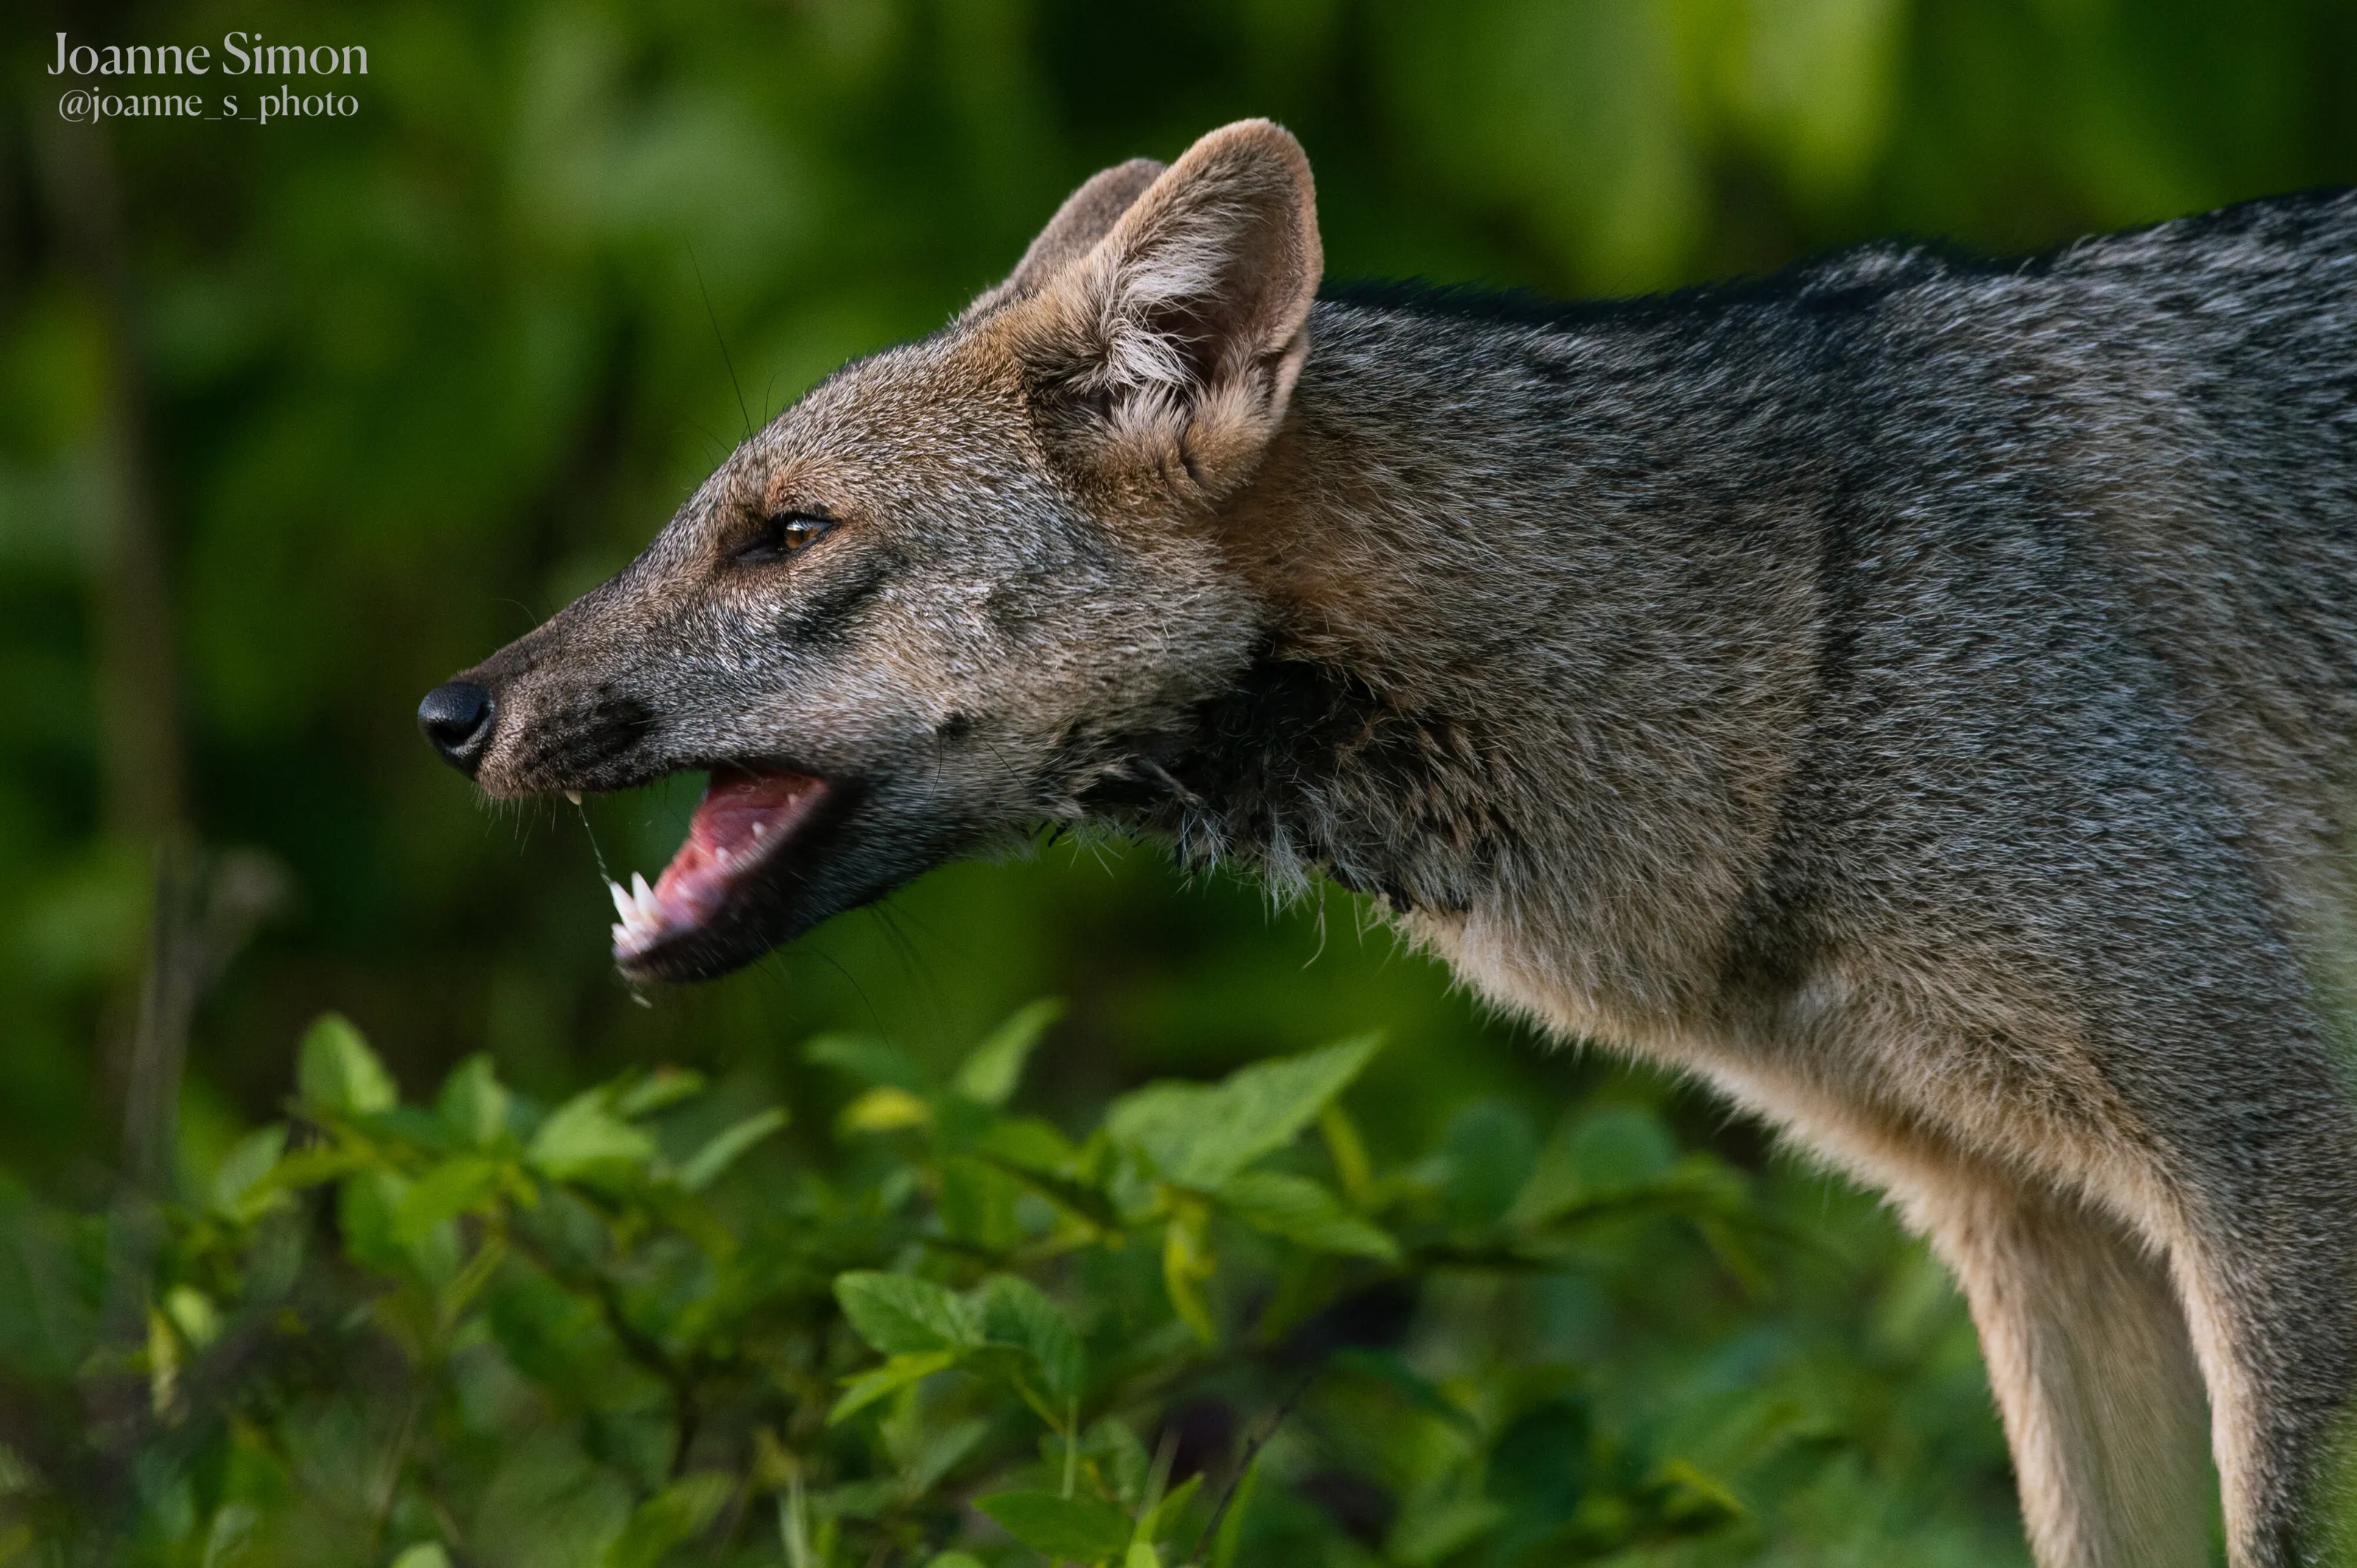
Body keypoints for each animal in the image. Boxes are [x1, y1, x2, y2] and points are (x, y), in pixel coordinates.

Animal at [417, 119, 2357, 1565]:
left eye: (786, 533)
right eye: (702, 522)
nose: (449, 714)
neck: (1806, 644)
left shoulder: (2265, 1161)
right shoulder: (2028, 1230)